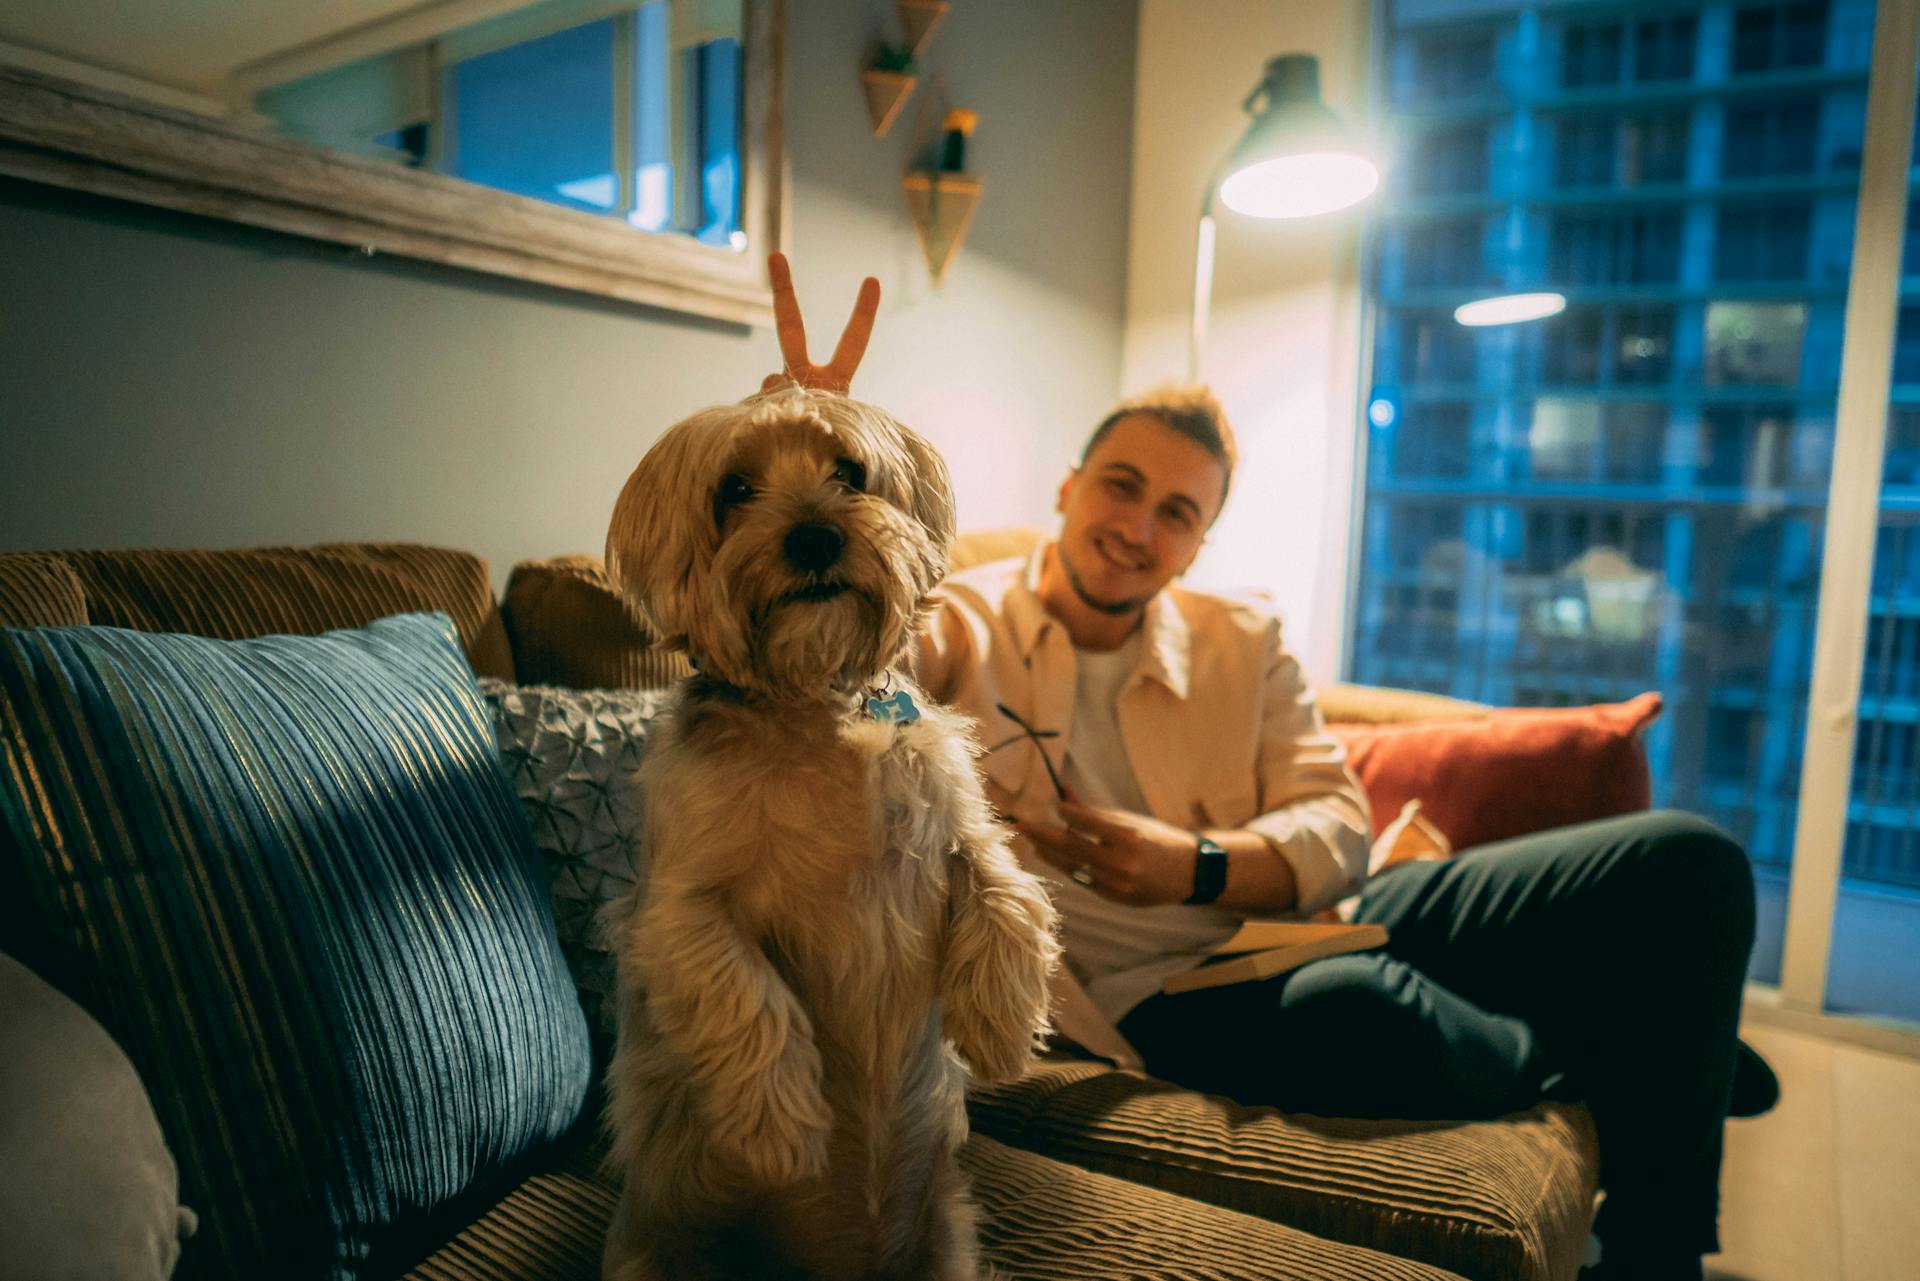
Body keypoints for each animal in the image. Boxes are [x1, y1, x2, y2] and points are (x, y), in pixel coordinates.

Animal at [599, 387, 1059, 1281]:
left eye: (850, 472)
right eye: (734, 491)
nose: (815, 535)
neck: (812, 701)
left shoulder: (954, 822)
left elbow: (1007, 885)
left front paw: (998, 1028)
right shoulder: (674, 912)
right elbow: (745, 990)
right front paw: (779, 1126)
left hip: (949, 1239)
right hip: (658, 1250)